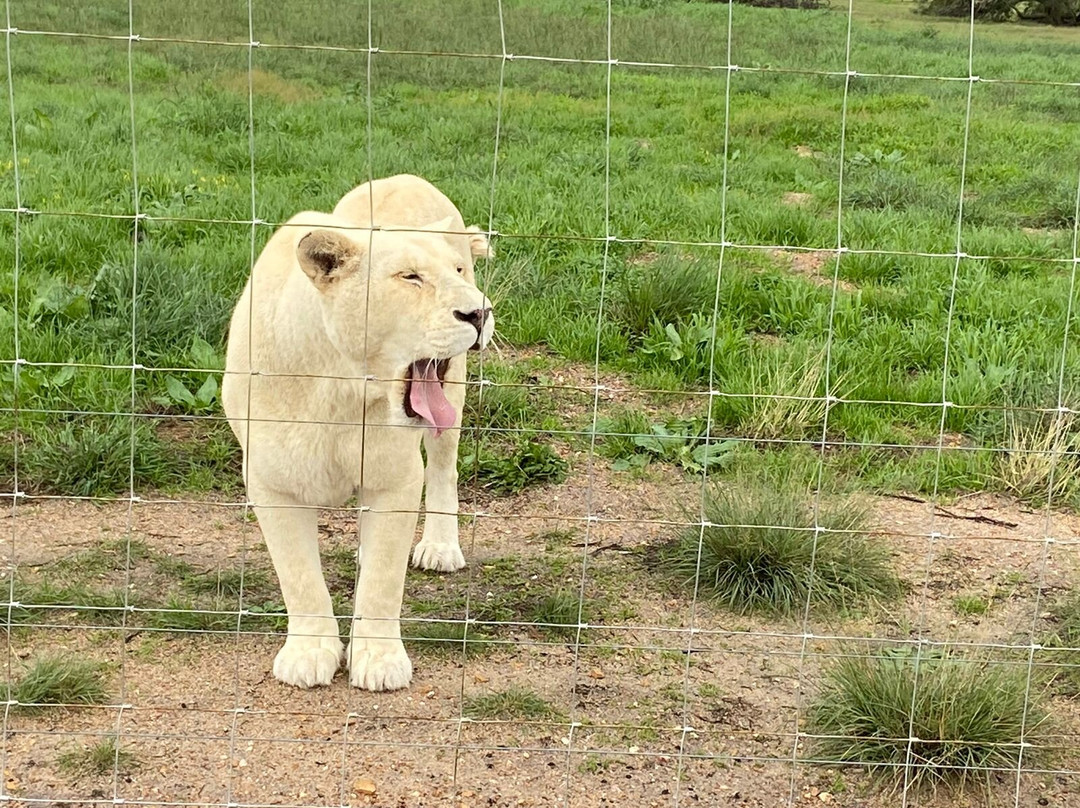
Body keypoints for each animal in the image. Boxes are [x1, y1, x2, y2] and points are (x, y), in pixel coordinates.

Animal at [222, 175, 493, 690]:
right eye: (410, 277)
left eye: (459, 269)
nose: (480, 313)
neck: (343, 386)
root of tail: (406, 177)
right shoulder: (270, 482)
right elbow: (299, 576)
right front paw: (309, 655)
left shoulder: (396, 478)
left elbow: (384, 583)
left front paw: (380, 662)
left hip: (455, 392)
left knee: (444, 470)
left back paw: (439, 547)